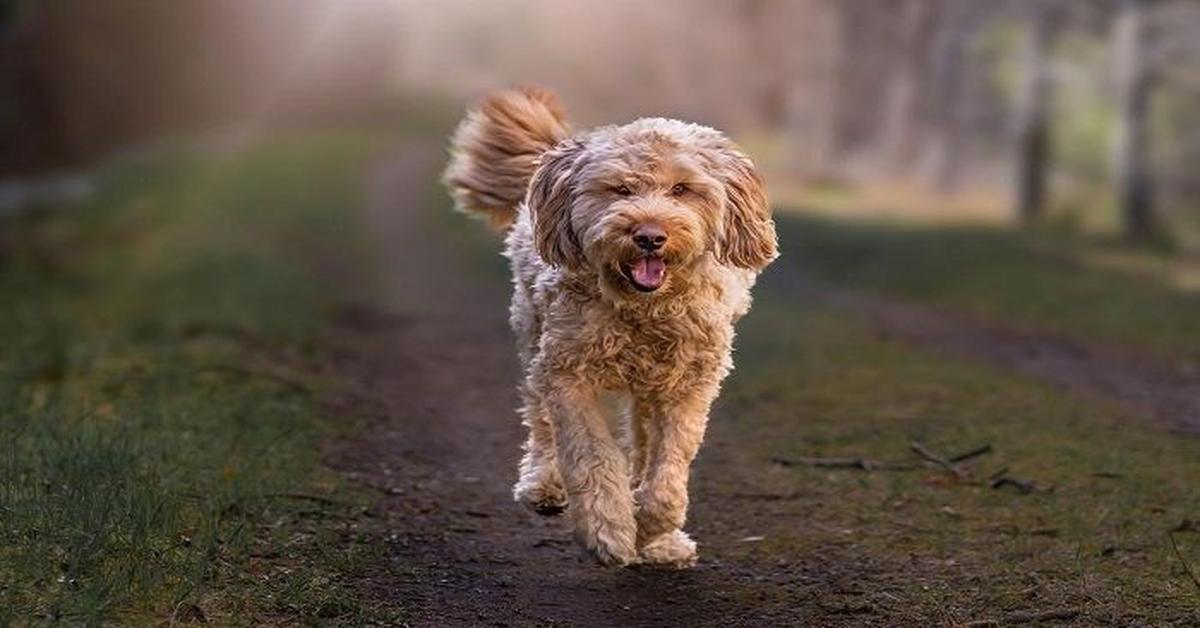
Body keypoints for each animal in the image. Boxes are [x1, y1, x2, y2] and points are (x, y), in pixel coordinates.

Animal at [441, 88, 777, 569]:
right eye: (620, 189)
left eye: (682, 189)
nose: (650, 235)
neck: (643, 310)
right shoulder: (568, 373)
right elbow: (590, 456)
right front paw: (610, 531)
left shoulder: (690, 382)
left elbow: (670, 468)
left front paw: (654, 529)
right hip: (533, 331)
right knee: (540, 418)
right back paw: (544, 486)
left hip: (649, 382)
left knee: (641, 437)